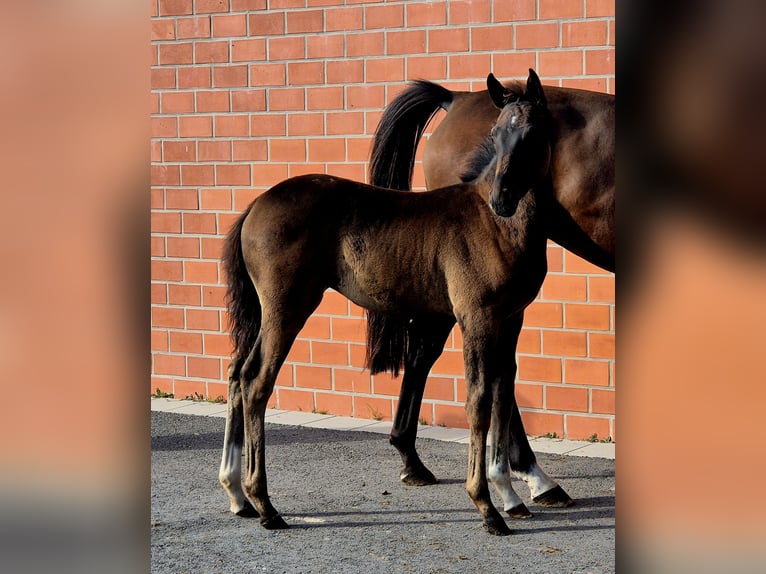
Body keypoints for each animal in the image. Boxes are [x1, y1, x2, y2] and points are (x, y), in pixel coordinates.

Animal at [219, 70, 554, 535]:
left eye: (534, 132)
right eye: (496, 133)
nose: (502, 198)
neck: (496, 226)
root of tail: (254, 206)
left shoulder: (512, 318)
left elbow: (504, 394)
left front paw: (510, 496)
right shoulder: (477, 317)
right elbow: (479, 399)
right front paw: (486, 507)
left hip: (265, 313)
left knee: (236, 372)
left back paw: (237, 496)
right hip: (285, 308)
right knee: (255, 382)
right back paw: (265, 505)